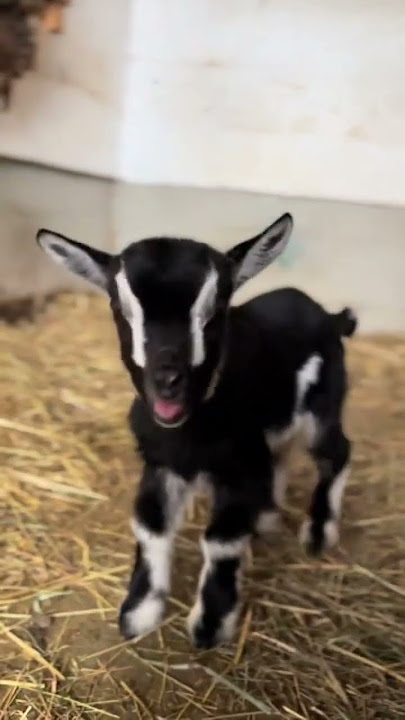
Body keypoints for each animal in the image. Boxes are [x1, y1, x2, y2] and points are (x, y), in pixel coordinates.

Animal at [36, 213, 357, 649]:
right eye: (120, 308)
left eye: (214, 309)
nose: (167, 380)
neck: (187, 433)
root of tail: (326, 315)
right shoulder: (160, 463)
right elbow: (151, 526)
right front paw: (139, 613)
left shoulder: (237, 466)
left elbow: (221, 541)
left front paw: (210, 625)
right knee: (281, 458)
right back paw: (267, 519)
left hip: (321, 409)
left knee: (335, 453)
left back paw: (319, 533)